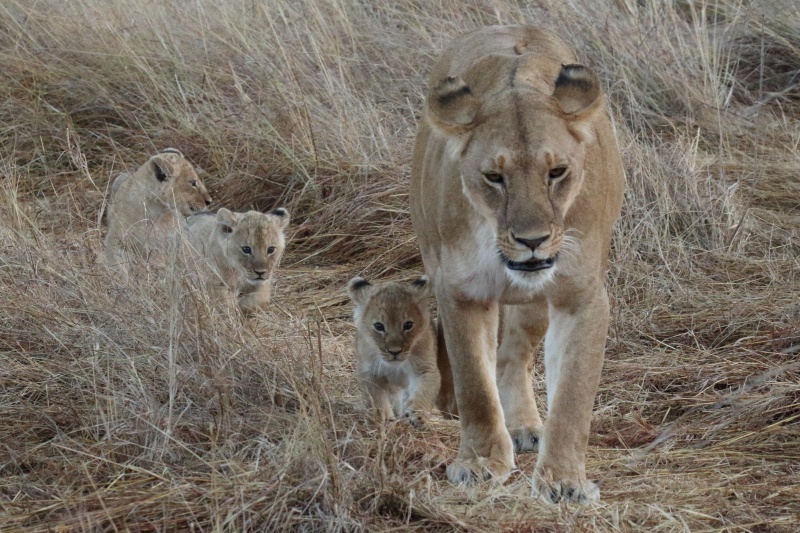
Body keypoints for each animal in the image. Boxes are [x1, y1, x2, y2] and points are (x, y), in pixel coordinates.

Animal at [412, 26, 624, 502]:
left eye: (557, 172)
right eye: (494, 177)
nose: (532, 241)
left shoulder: (580, 295)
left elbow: (574, 395)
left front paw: (564, 480)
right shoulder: (460, 291)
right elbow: (474, 382)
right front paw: (478, 463)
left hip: (535, 306)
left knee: (513, 354)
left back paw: (525, 427)